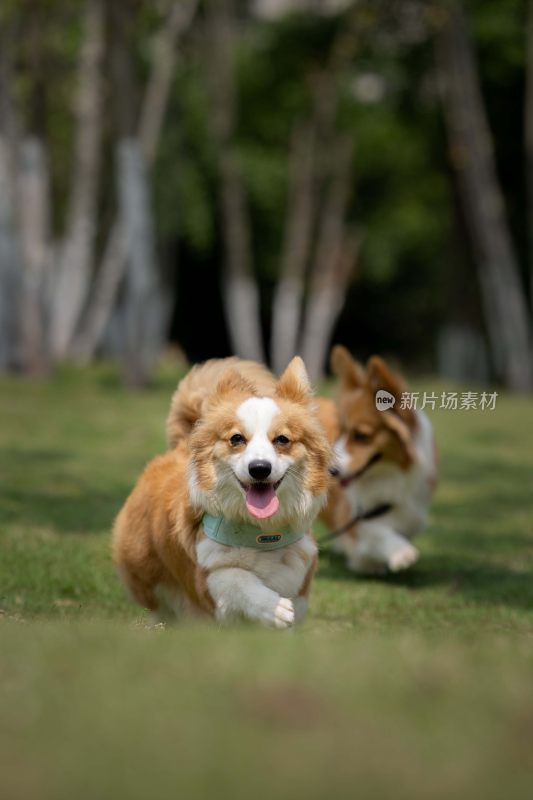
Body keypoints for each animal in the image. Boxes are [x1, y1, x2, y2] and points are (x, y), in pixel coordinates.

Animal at [112, 354, 330, 624]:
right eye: (236, 439)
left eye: (282, 439)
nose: (259, 468)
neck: (259, 534)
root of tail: (180, 447)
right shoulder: (206, 577)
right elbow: (235, 578)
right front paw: (275, 608)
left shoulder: (300, 572)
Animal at [316, 346, 436, 572]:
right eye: (341, 431)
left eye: (361, 436)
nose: (331, 472)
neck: (388, 473)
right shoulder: (354, 514)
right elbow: (375, 532)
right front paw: (401, 553)